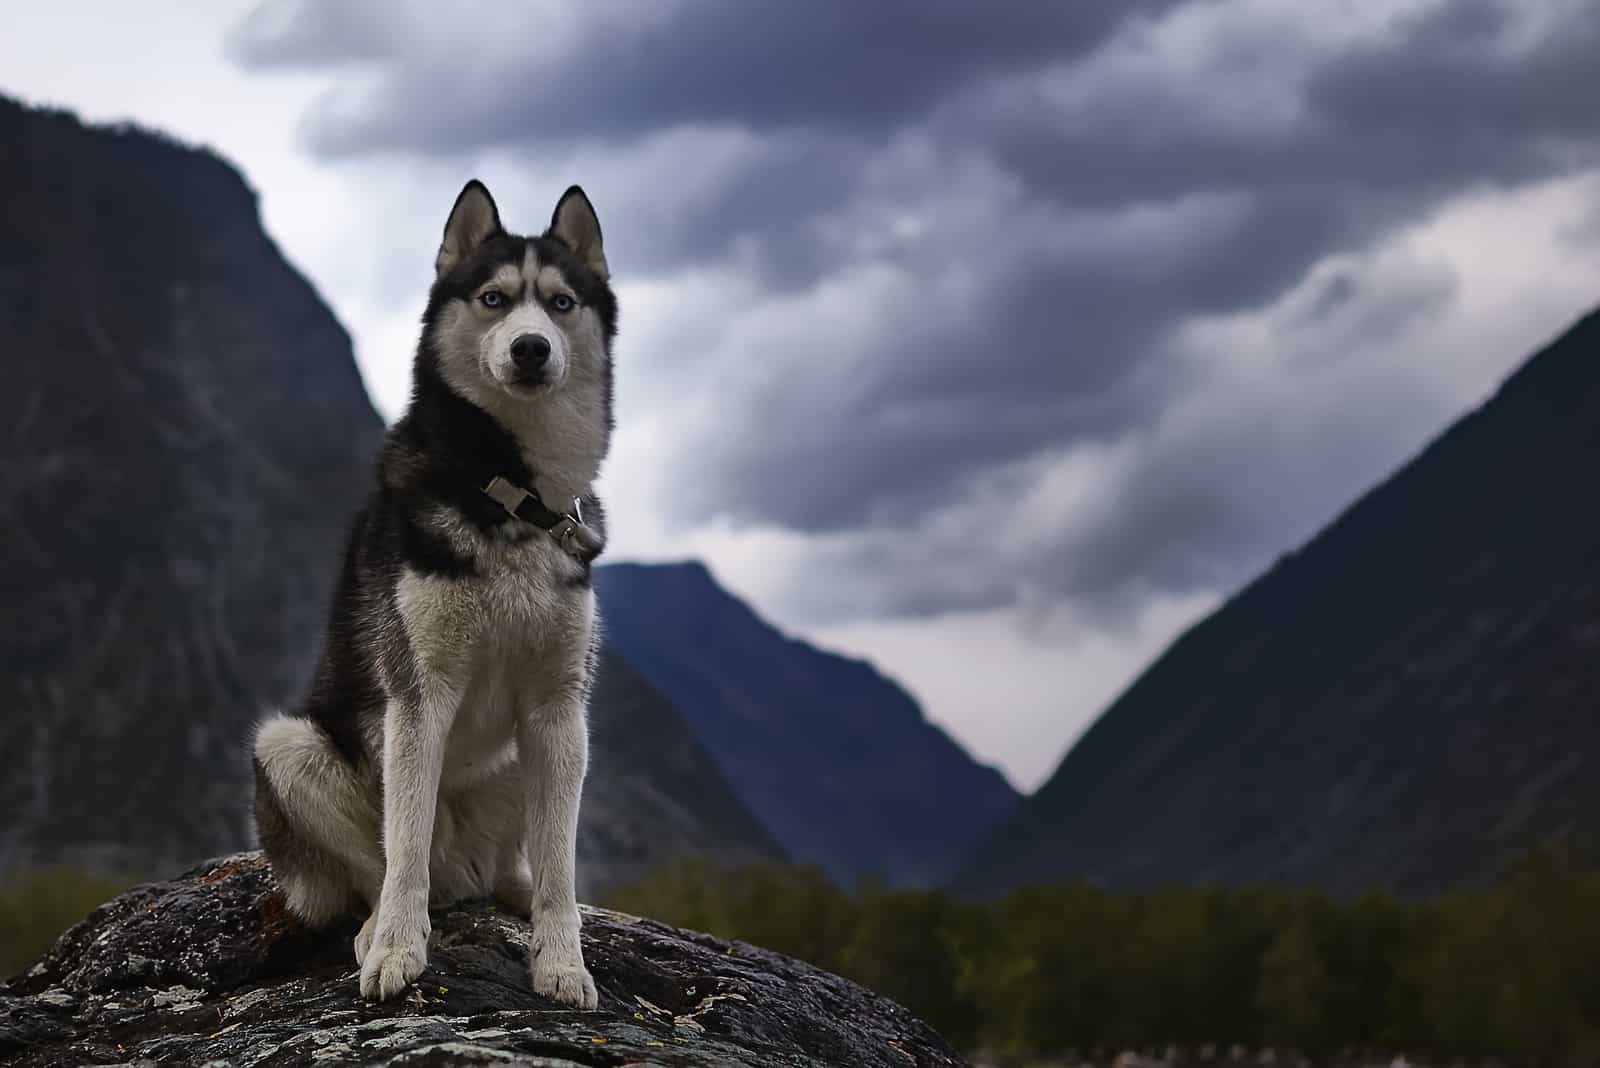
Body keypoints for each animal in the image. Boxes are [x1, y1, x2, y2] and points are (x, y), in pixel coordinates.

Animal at [252, 179, 614, 1004]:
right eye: (493, 298)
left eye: (561, 303)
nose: (530, 347)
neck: (509, 491)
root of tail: (466, 876)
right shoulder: (419, 695)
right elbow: (403, 843)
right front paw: (396, 947)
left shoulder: (559, 706)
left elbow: (559, 855)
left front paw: (561, 960)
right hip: (289, 745)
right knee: (381, 867)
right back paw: (374, 926)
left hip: (535, 758)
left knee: (519, 861)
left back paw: (519, 892)